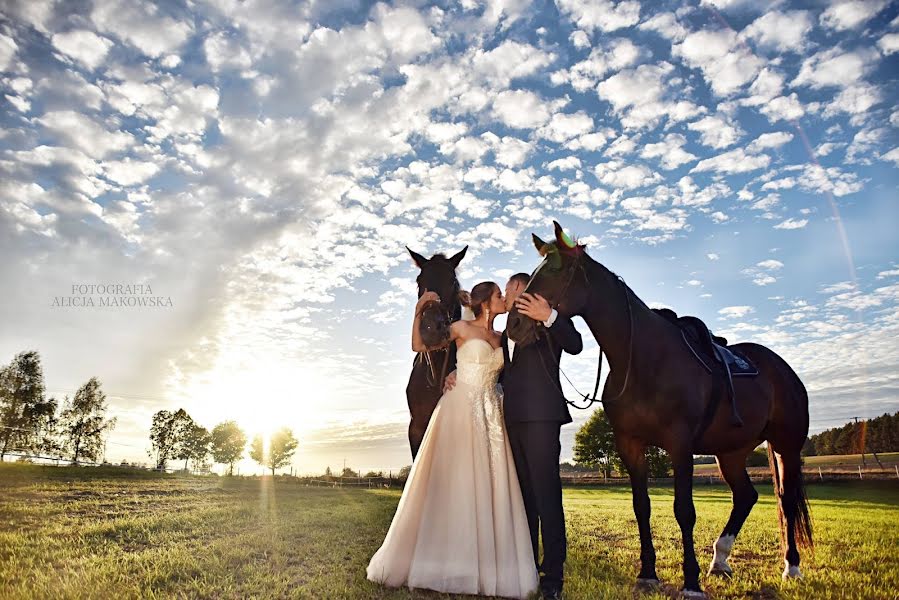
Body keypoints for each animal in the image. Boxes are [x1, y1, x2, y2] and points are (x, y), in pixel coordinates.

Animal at [506, 223, 816, 596]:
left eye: (556, 271)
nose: (514, 325)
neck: (643, 358)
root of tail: (782, 368)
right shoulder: (630, 444)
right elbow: (642, 507)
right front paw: (648, 573)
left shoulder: (679, 445)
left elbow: (684, 511)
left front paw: (691, 581)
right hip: (731, 452)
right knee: (746, 496)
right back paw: (720, 560)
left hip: (786, 445)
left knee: (786, 498)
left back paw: (791, 567)